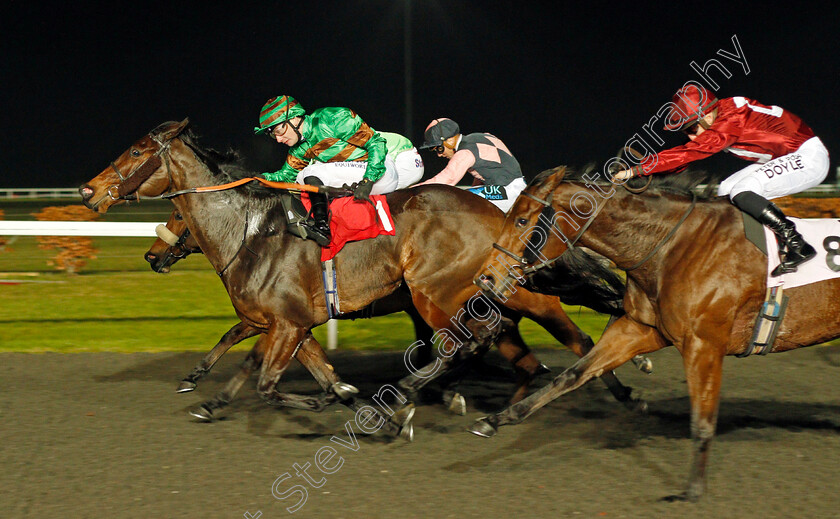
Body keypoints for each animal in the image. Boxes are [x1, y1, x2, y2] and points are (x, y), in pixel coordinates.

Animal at [80, 121, 644, 434]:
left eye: (136, 152)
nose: (88, 191)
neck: (251, 230)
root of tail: (501, 216)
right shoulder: (290, 323)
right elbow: (286, 364)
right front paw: (210, 392)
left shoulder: (285, 322)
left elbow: (265, 380)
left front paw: (336, 402)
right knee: (509, 350)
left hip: (439, 292)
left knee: (489, 342)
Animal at [470, 166, 840, 500]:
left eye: (521, 221)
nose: (485, 278)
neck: (671, 245)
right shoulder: (641, 328)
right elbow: (573, 375)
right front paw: (496, 419)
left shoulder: (703, 343)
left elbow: (702, 419)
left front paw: (692, 491)